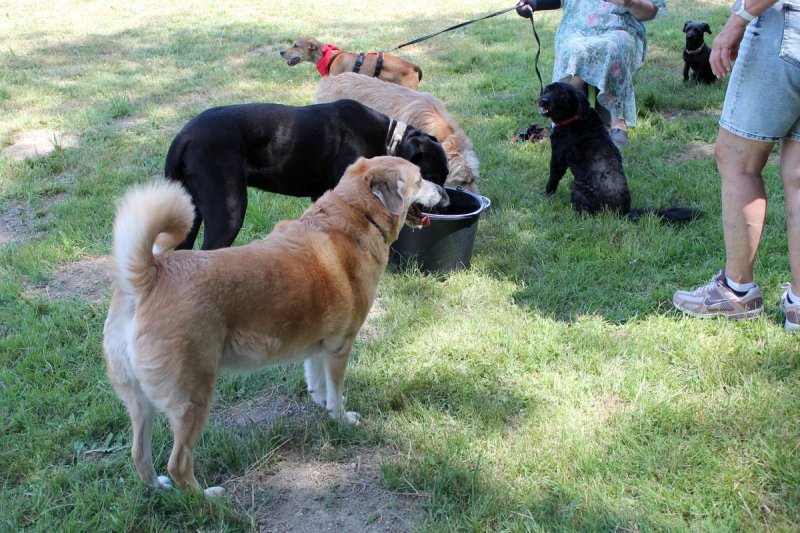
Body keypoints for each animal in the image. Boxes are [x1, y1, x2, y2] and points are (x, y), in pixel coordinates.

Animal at [103, 157, 445, 496]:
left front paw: (322, 405)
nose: (443, 191)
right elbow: (336, 393)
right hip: (193, 398)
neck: (355, 212)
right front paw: (341, 419)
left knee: (139, 455)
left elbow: (317, 382)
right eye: (420, 178)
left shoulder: (319, 345)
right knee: (179, 465)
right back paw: (208, 498)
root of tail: (151, 275)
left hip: (139, 401)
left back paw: (159, 488)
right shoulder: (340, 345)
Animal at [165, 99, 449, 250]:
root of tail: (185, 135)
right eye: (430, 176)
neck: (388, 138)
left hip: (191, 211)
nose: (447, 202)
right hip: (229, 210)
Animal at [538, 82, 701, 222]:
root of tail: (623, 212)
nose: (543, 101)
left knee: (585, 213)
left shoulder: (557, 159)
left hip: (578, 188)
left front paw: (545, 195)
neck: (574, 118)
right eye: (546, 90)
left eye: (562, 95)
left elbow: (552, 180)